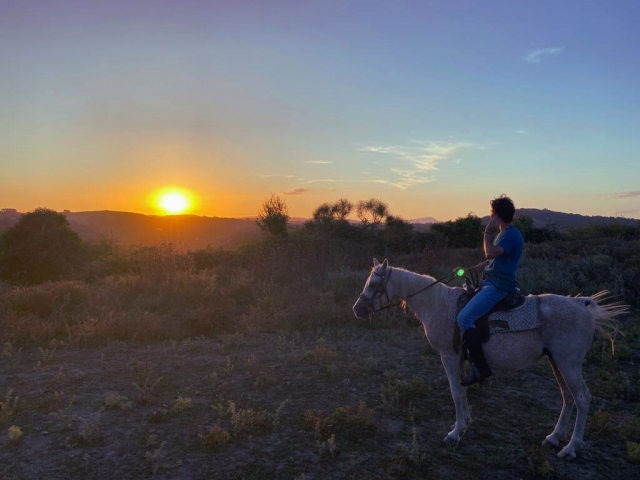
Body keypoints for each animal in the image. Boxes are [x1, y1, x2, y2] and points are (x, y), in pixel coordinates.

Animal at [352, 256, 628, 460]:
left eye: (374, 284)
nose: (357, 309)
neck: (439, 305)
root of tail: (582, 305)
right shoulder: (459, 358)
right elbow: (462, 390)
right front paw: (464, 424)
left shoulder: (449, 356)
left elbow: (455, 392)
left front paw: (455, 433)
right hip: (556, 361)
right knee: (567, 397)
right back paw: (553, 438)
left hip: (568, 363)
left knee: (582, 399)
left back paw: (570, 447)